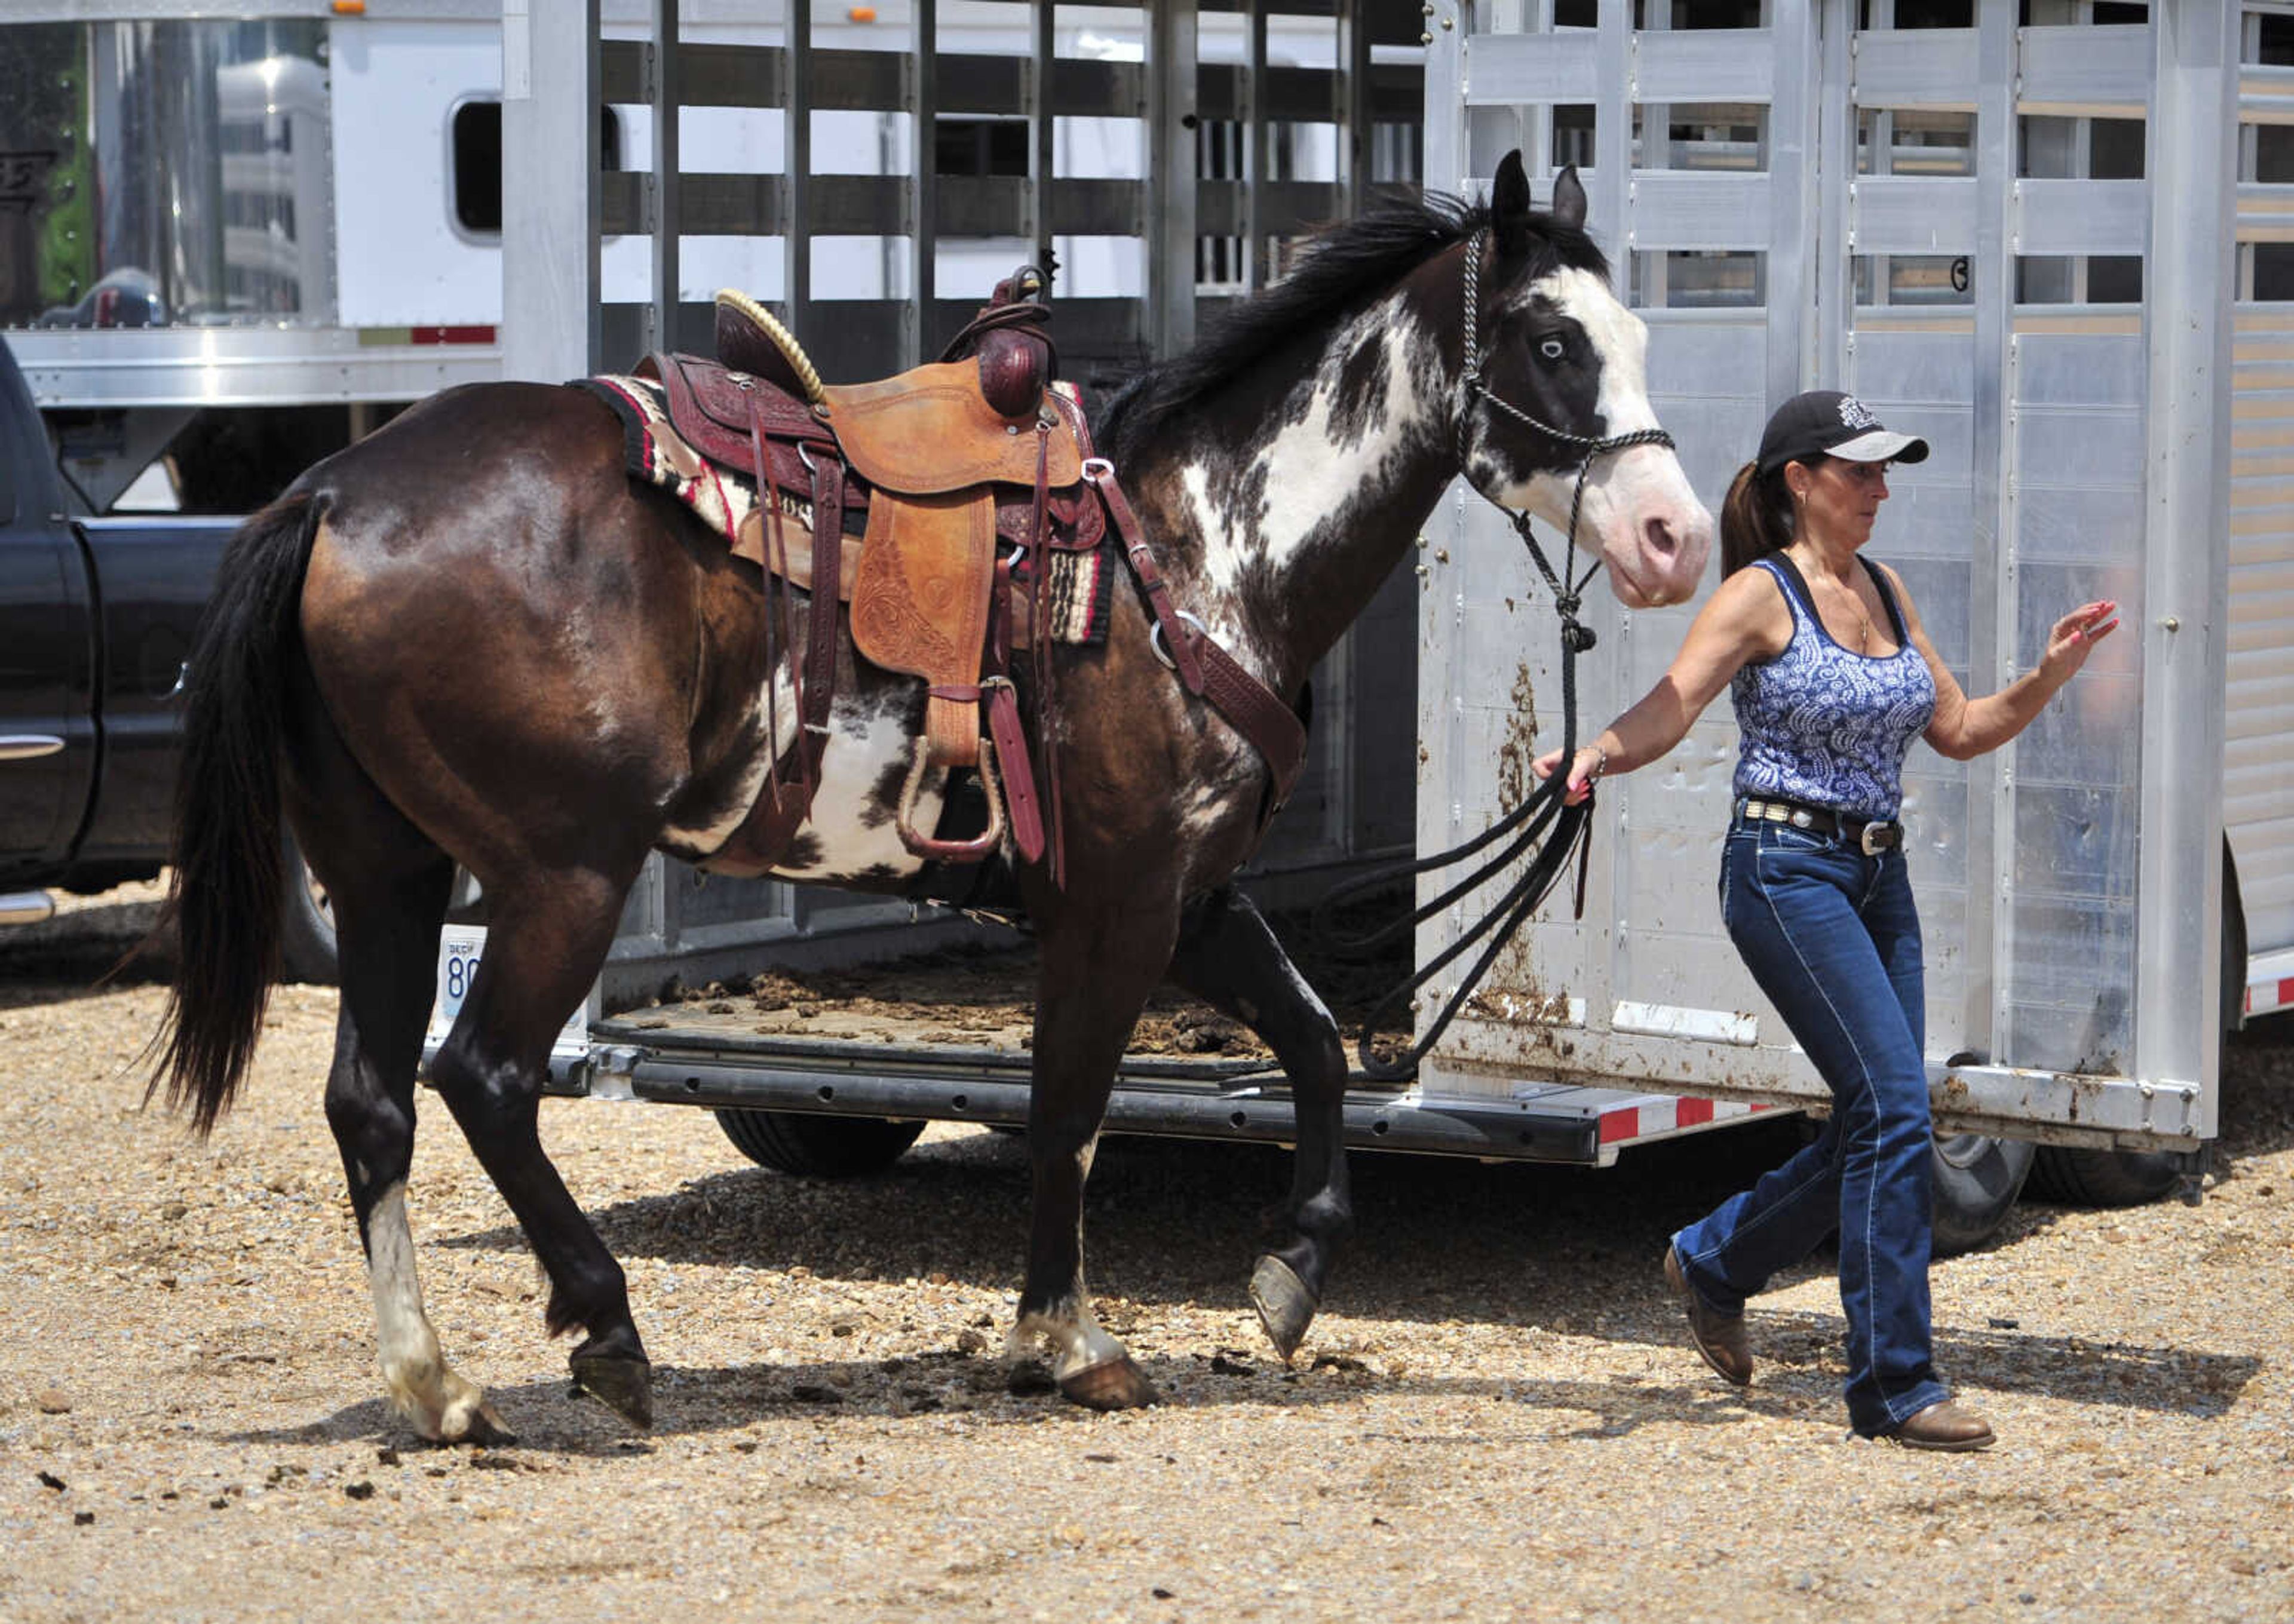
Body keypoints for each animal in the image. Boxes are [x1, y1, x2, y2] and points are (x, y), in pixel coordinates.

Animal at [152, 152, 1716, 1440]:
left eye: (1637, 336)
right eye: (1555, 341)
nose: (1673, 536)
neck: (1190, 547)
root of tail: (332, 495)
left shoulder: (1196, 892)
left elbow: (1319, 1045)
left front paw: (1291, 1267)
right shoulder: (1118, 901)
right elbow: (1074, 1103)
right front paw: (1067, 1338)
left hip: (389, 875)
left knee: (371, 1103)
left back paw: (436, 1385)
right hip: (559, 875)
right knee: (478, 1075)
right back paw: (606, 1330)